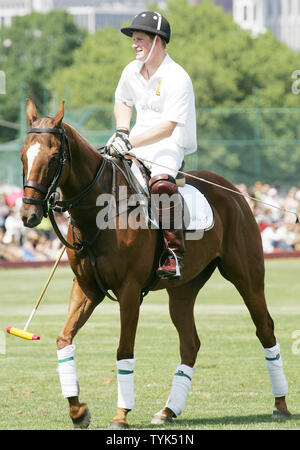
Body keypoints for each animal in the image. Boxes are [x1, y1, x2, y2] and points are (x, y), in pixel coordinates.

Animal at [19, 99, 290, 428]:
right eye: (23, 154)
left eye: (54, 156)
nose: (29, 215)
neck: (100, 211)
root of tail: (236, 192)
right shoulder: (86, 287)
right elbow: (63, 339)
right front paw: (78, 411)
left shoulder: (129, 289)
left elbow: (124, 350)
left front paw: (120, 415)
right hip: (183, 289)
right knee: (190, 342)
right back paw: (168, 410)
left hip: (247, 276)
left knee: (265, 328)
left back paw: (280, 404)